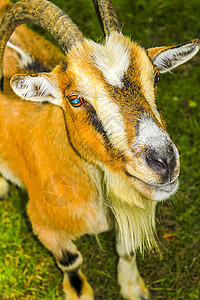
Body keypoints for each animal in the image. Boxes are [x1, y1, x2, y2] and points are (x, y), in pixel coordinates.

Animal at [0, 0, 199, 298]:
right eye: (74, 99)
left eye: (155, 78)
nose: (164, 161)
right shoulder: (41, 223)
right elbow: (71, 261)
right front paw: (79, 292)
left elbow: (126, 249)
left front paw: (133, 288)